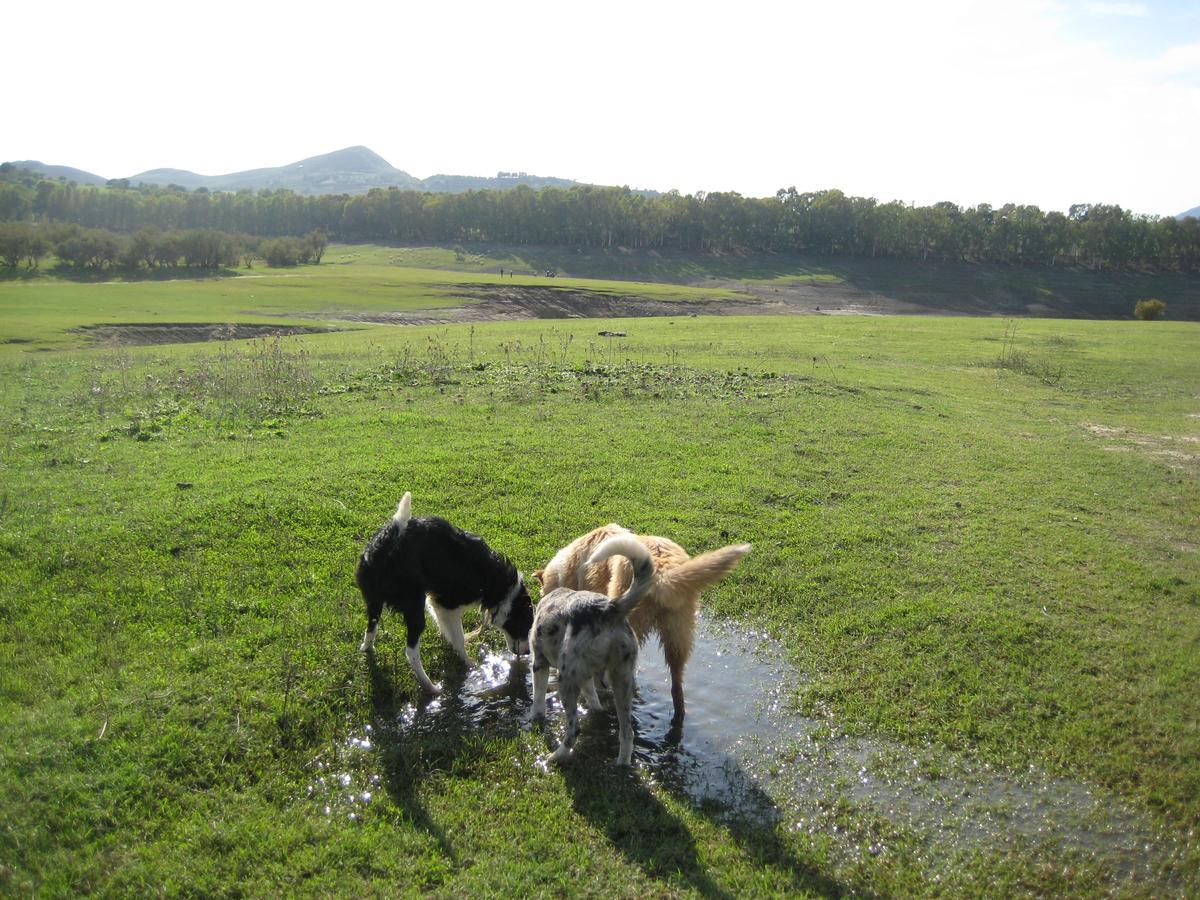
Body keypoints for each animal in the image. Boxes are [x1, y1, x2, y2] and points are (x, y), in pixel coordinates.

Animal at [350, 494, 530, 696]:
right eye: (526, 625)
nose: (528, 653)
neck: (499, 584)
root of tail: (392, 534)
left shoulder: (436, 602)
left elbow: (448, 631)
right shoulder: (448, 604)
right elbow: (459, 638)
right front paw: (470, 666)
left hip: (374, 602)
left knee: (370, 629)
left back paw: (367, 648)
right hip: (414, 606)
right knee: (411, 651)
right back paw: (430, 687)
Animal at [528, 535, 652, 768]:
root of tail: (608, 608)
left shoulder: (539, 663)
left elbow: (537, 699)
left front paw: (535, 718)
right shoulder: (586, 676)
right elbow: (593, 698)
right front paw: (596, 710)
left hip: (565, 680)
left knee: (573, 729)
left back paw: (556, 757)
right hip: (621, 680)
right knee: (627, 732)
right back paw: (621, 765)